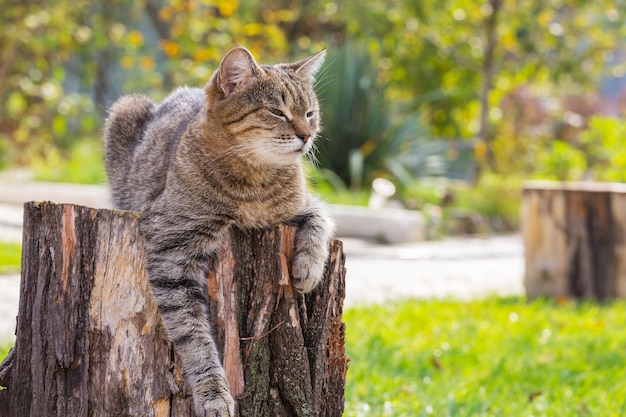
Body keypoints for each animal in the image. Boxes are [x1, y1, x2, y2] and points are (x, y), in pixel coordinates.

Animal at [102, 46, 334, 416]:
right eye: (277, 111)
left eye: (310, 113)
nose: (307, 134)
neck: (254, 182)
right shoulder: (171, 249)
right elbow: (193, 334)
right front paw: (213, 393)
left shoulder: (297, 208)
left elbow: (322, 219)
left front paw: (308, 268)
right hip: (126, 109)